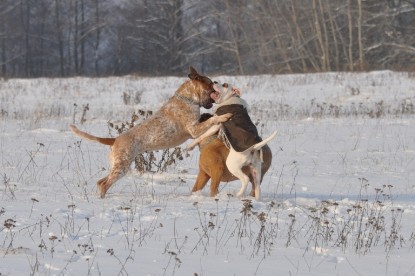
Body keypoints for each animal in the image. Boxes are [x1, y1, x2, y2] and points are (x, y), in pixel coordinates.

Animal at [70, 66, 232, 198]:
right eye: (210, 84)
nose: (218, 83)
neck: (187, 99)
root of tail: (115, 140)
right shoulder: (194, 129)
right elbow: (212, 120)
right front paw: (224, 116)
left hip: (116, 166)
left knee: (100, 182)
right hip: (121, 167)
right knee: (104, 184)